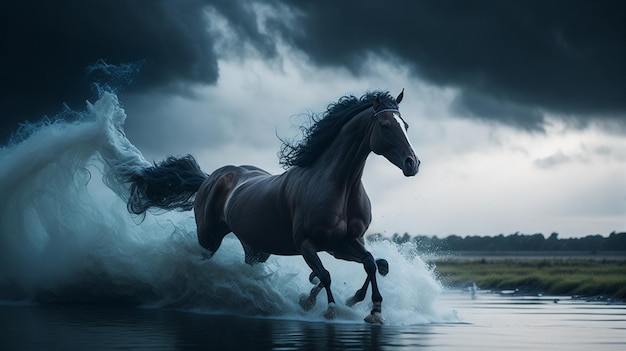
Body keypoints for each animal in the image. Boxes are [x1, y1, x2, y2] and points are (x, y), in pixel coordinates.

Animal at [125, 91, 420, 324]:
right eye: (385, 125)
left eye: (405, 125)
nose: (412, 163)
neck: (340, 185)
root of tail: (211, 177)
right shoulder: (307, 244)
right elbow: (325, 275)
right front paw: (321, 306)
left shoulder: (344, 244)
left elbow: (370, 263)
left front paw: (371, 308)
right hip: (208, 238)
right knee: (200, 263)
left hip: (256, 249)